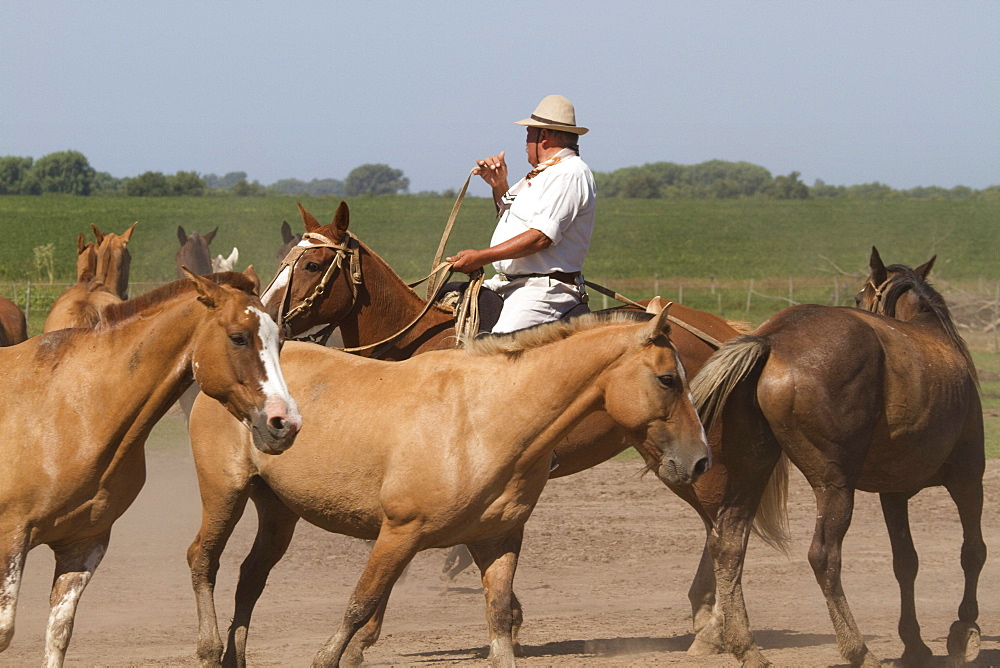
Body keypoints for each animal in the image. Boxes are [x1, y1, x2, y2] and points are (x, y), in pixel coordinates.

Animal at [0, 268, 300, 664]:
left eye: (280, 341)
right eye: (238, 337)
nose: (285, 423)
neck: (71, 409)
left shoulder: (83, 546)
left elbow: (58, 634)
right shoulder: (10, 539)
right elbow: (5, 632)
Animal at [688, 247, 984, 668]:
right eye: (860, 298)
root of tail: (773, 339)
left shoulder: (894, 494)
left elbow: (905, 562)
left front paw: (914, 643)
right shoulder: (969, 479)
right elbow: (972, 552)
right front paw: (965, 630)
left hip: (753, 468)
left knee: (728, 543)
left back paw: (747, 646)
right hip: (834, 484)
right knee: (824, 557)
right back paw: (858, 648)